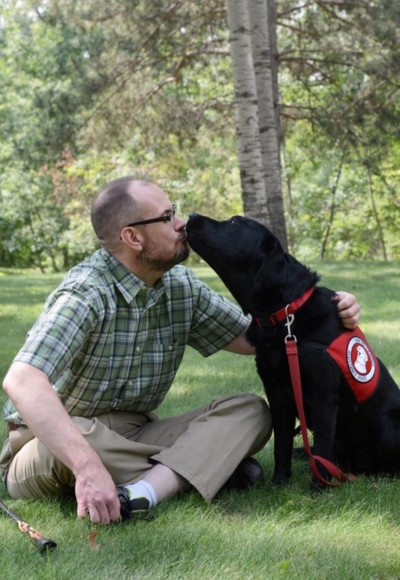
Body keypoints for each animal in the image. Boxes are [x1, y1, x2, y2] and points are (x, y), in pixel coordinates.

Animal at [185, 213, 400, 484]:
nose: (191, 215)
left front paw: (319, 487)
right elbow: (282, 445)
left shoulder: (323, 397)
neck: (285, 314)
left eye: (234, 222)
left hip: (389, 426)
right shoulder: (277, 394)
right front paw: (279, 482)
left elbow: (322, 448)